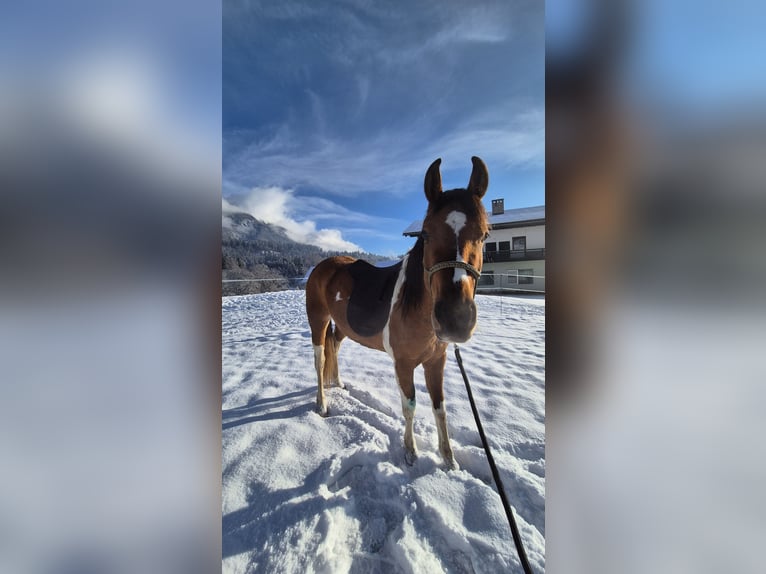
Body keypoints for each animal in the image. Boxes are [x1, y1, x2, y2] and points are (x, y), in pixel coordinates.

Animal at [305, 157, 490, 469]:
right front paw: (410, 452)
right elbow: (410, 406)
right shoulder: (403, 364)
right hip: (317, 321)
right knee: (319, 361)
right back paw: (322, 404)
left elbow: (440, 408)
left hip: (342, 327)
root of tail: (323, 266)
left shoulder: (436, 362)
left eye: (485, 233)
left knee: (335, 349)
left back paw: (339, 383)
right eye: (426, 233)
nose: (455, 319)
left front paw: (449, 459)